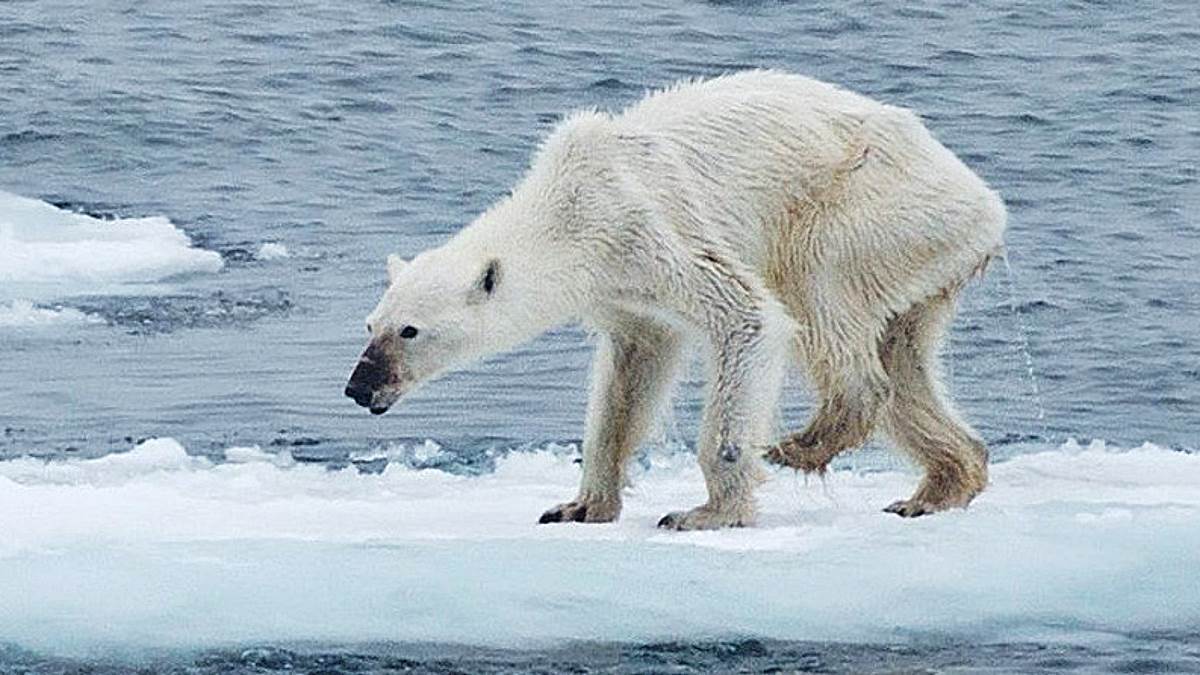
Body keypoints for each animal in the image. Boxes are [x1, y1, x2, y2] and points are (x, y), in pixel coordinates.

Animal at [345, 70, 1003, 528]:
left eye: (409, 330)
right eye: (370, 325)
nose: (358, 387)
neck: (569, 208)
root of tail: (986, 203)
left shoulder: (648, 227)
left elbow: (748, 316)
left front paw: (706, 512)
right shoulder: (620, 289)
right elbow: (630, 374)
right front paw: (578, 506)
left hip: (869, 207)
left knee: (820, 292)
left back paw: (804, 442)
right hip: (921, 258)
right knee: (904, 357)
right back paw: (937, 486)